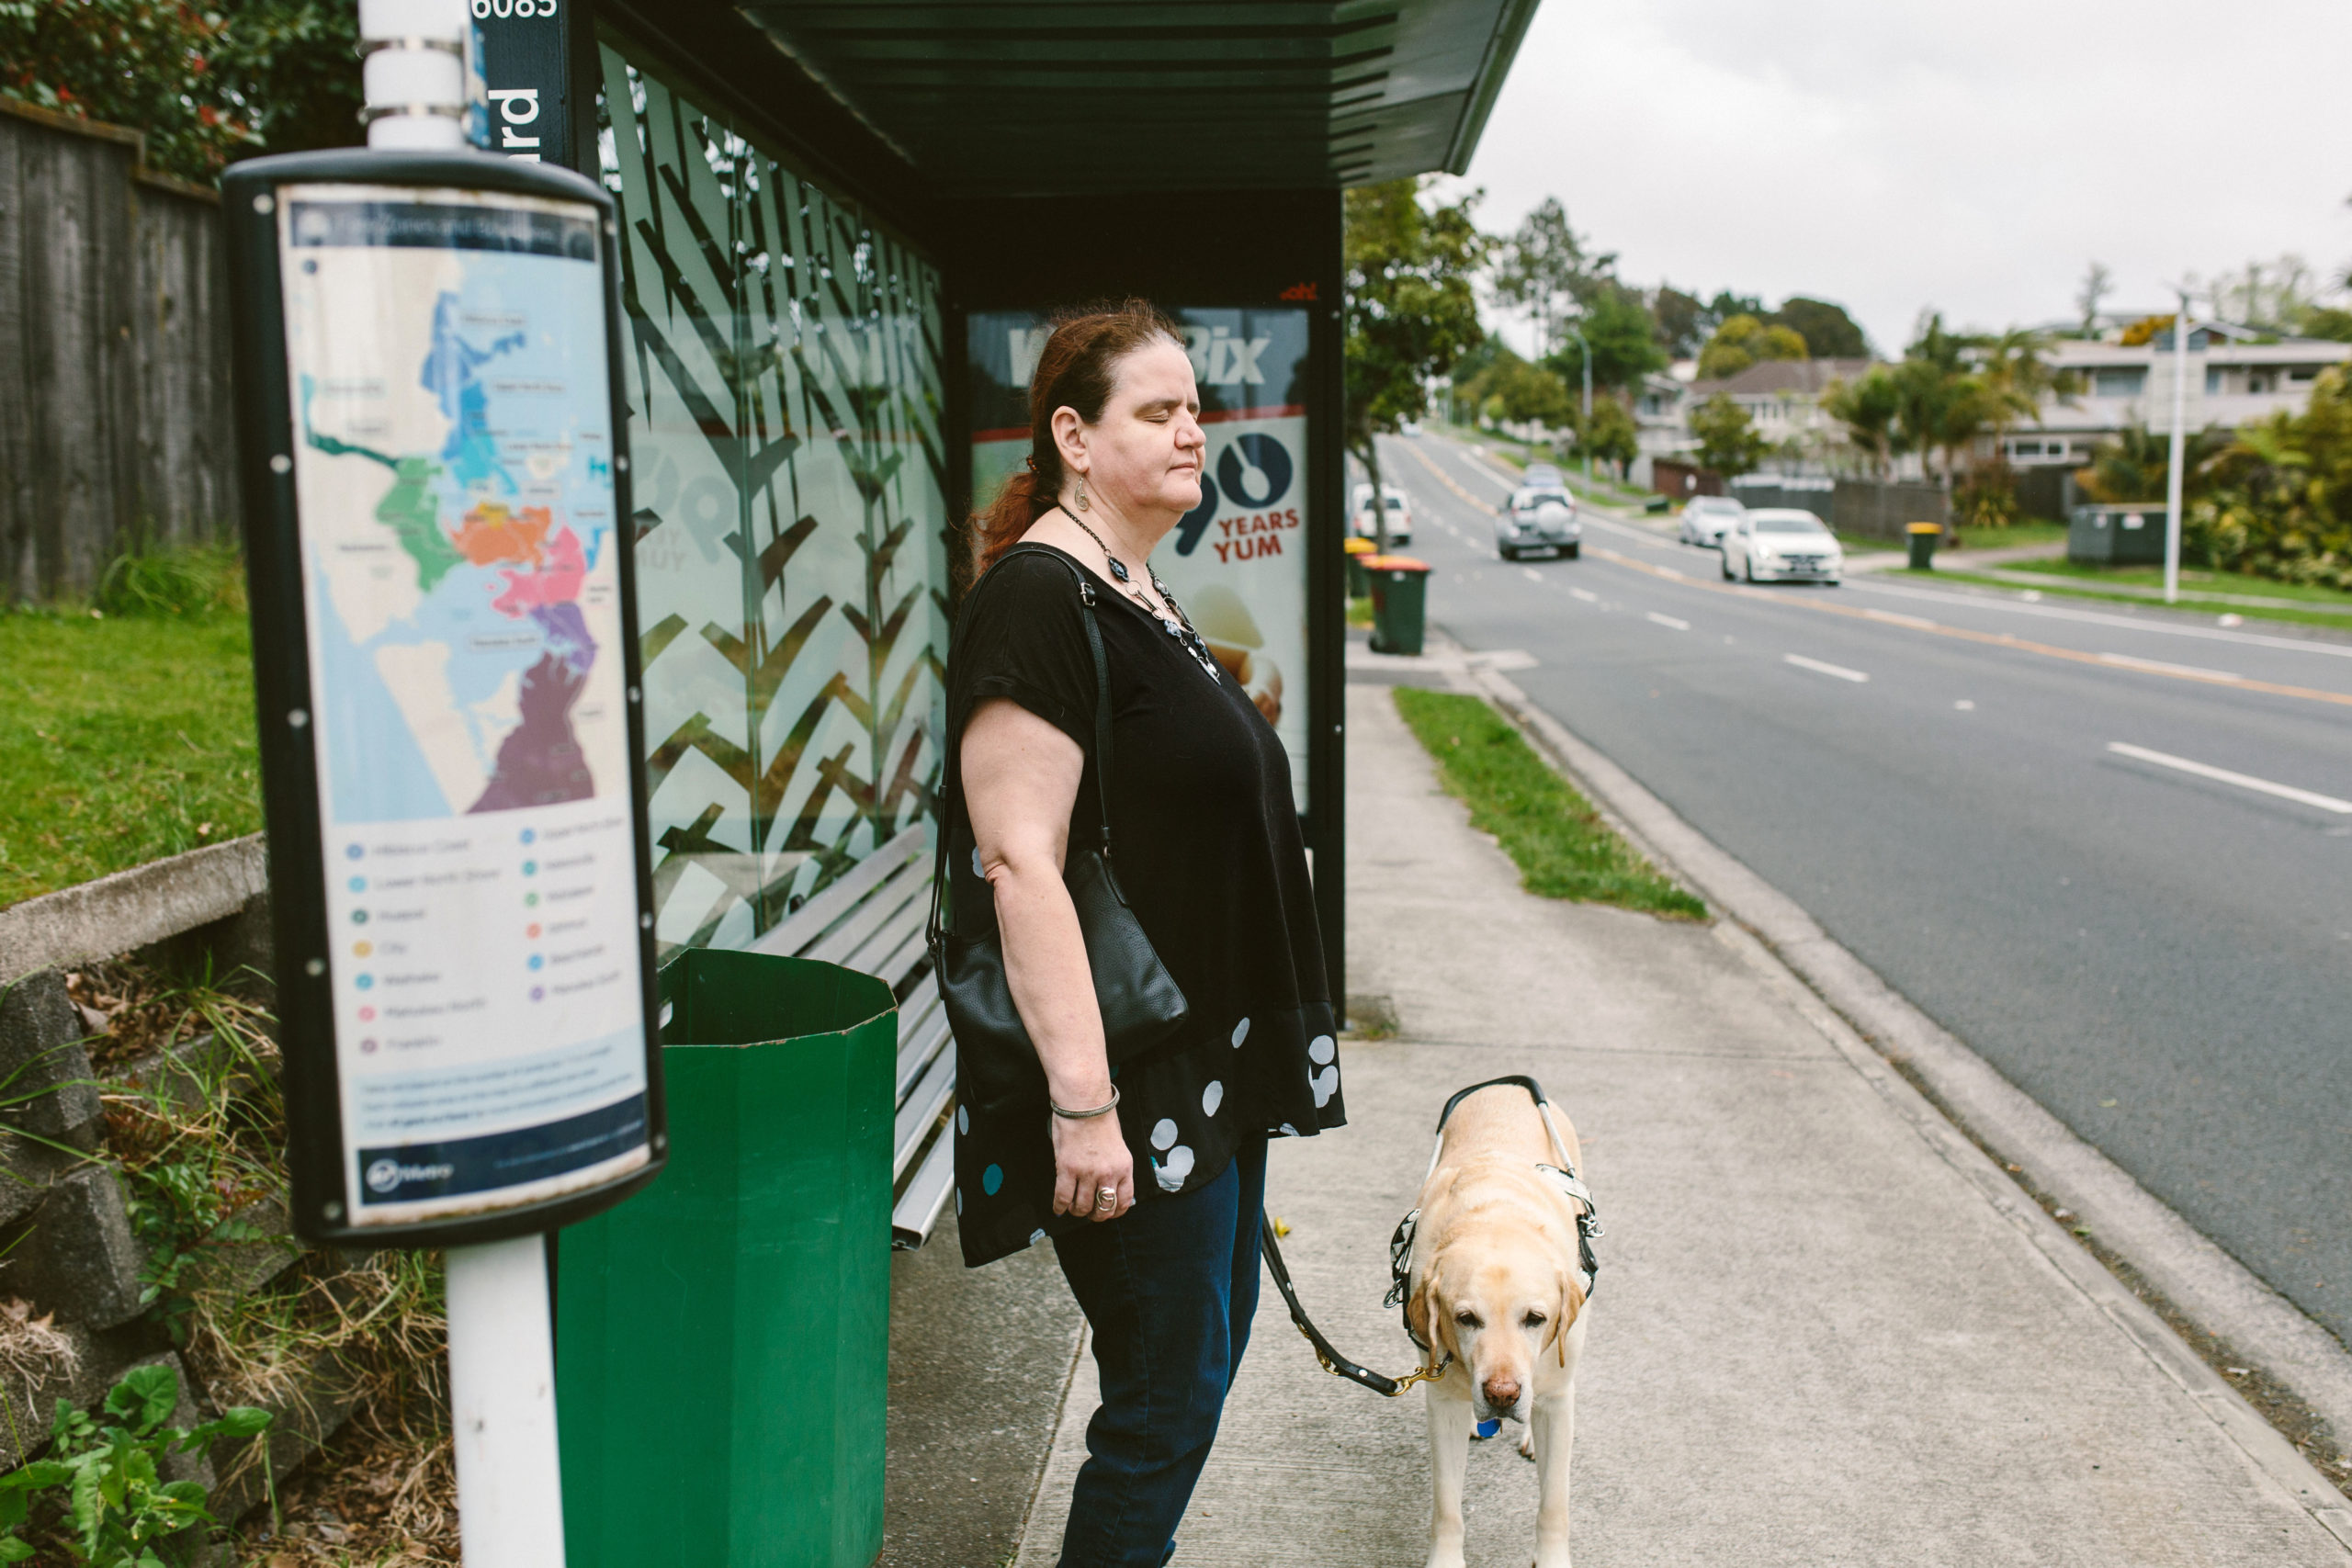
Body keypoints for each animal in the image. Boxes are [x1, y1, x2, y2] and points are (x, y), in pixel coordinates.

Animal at [1392, 1081, 1599, 1568]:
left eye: (1535, 1319)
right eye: (1466, 1319)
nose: (1502, 1395)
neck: (1494, 1215)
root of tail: (1504, 1085)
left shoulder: (1556, 1391)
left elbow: (1554, 1503)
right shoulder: (1442, 1401)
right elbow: (1447, 1506)